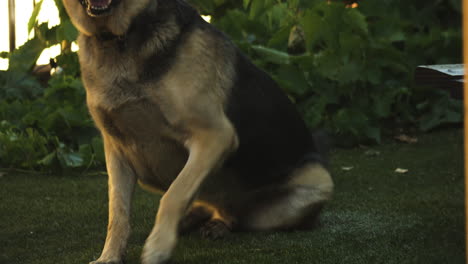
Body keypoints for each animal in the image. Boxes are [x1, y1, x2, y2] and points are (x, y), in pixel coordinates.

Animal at [62, 0, 332, 262]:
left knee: (236, 216)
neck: (119, 37)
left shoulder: (215, 135)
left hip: (312, 186)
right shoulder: (116, 151)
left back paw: (216, 224)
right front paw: (109, 256)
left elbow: (174, 194)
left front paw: (158, 246)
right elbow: (117, 213)